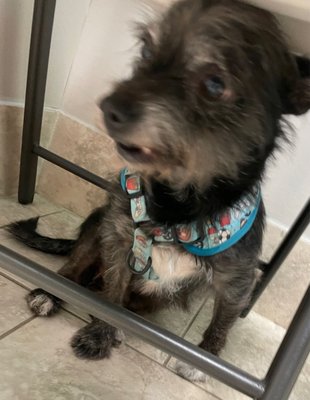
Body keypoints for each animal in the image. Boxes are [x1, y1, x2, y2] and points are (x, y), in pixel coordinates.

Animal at [8, 0, 308, 382]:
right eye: (147, 51)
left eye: (215, 83)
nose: (109, 108)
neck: (177, 208)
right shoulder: (119, 241)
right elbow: (111, 297)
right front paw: (100, 333)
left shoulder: (237, 281)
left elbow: (222, 321)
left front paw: (203, 358)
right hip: (96, 225)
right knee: (72, 269)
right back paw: (50, 292)